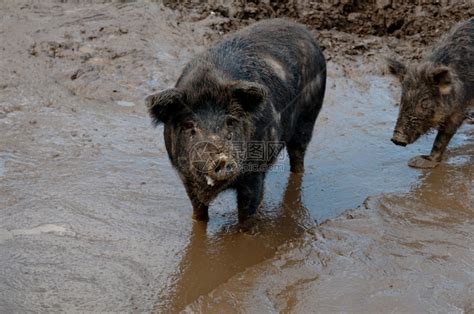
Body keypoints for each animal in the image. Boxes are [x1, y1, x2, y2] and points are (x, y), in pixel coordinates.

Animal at [146, 19, 328, 221]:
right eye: (189, 126)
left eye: (230, 122)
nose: (221, 159)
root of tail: (302, 29)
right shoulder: (186, 178)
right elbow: (199, 213)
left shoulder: (253, 174)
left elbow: (246, 214)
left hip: (309, 115)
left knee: (298, 155)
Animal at [386, 16, 472, 169]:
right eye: (402, 99)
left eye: (424, 101)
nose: (397, 139)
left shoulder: (460, 105)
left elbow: (444, 134)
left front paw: (419, 162)